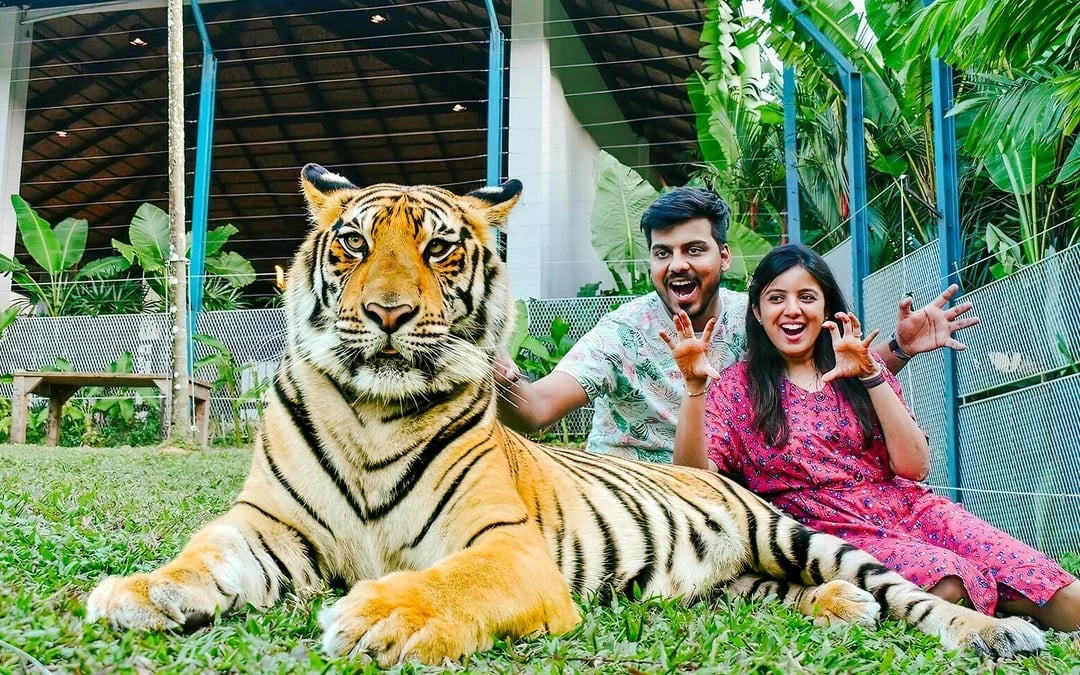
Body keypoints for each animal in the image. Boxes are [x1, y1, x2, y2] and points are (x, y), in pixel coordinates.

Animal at [86, 164, 1045, 667]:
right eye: (353, 244)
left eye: (439, 248)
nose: (390, 313)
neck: (371, 411)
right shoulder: (270, 524)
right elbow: (205, 553)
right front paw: (140, 589)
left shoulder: (505, 546)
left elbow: (451, 580)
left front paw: (383, 614)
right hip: (730, 582)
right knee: (785, 595)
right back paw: (841, 610)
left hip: (796, 533)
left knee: (907, 592)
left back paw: (998, 629)